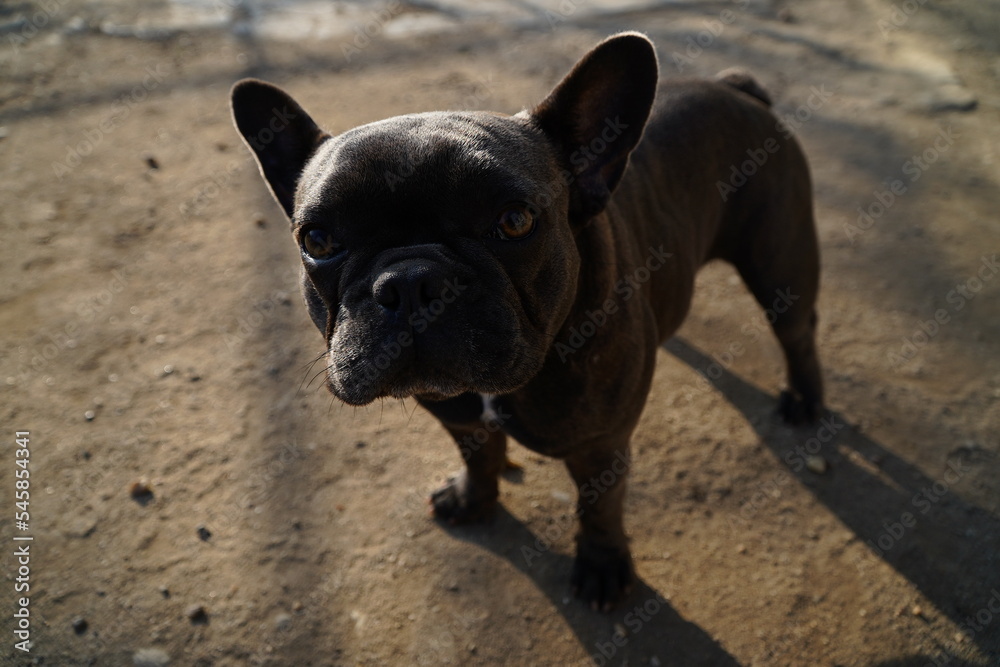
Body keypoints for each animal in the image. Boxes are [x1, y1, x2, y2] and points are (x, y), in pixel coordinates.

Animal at [230, 34, 824, 612]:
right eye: (318, 240)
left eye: (515, 221)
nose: (411, 280)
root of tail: (737, 89)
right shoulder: (457, 414)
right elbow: (480, 453)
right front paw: (474, 496)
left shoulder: (600, 445)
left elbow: (599, 507)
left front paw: (603, 565)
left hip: (781, 266)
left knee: (797, 333)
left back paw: (805, 398)